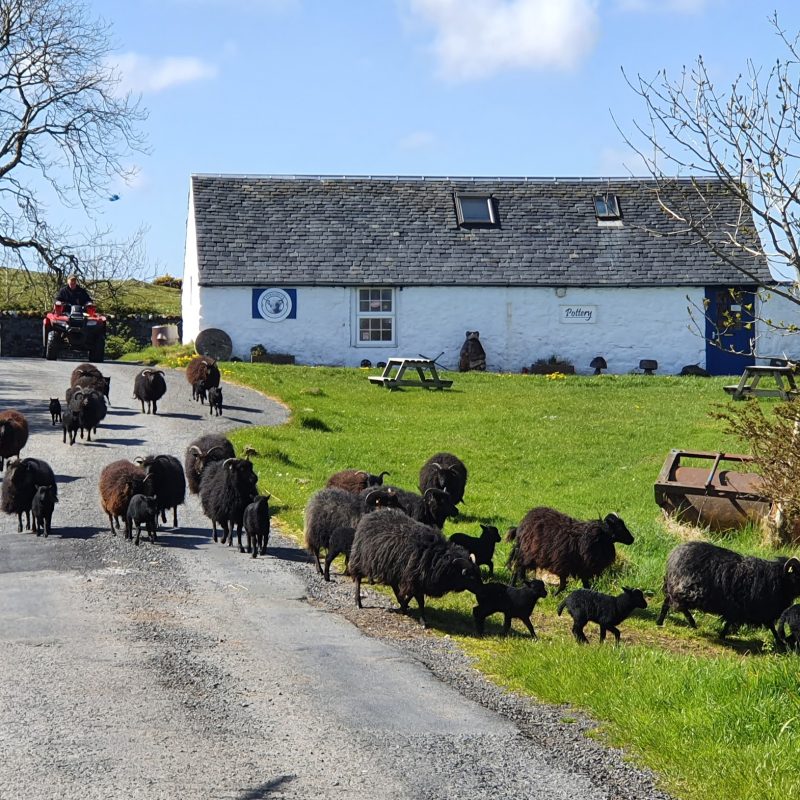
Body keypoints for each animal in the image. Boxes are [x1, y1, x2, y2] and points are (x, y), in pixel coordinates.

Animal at [348, 506, 482, 632]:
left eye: (479, 574)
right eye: (471, 576)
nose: (482, 590)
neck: (439, 557)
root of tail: (372, 514)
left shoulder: (417, 579)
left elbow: (412, 595)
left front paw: (404, 607)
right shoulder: (414, 577)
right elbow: (420, 601)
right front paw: (423, 621)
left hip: (393, 567)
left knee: (394, 585)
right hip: (361, 557)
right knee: (358, 578)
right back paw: (358, 602)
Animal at [660, 536, 800, 644]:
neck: (779, 580)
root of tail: (674, 555)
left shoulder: (756, 610)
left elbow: (770, 626)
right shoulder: (748, 608)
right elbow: (769, 626)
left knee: (668, 600)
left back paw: (660, 622)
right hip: (690, 590)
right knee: (675, 601)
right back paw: (692, 623)